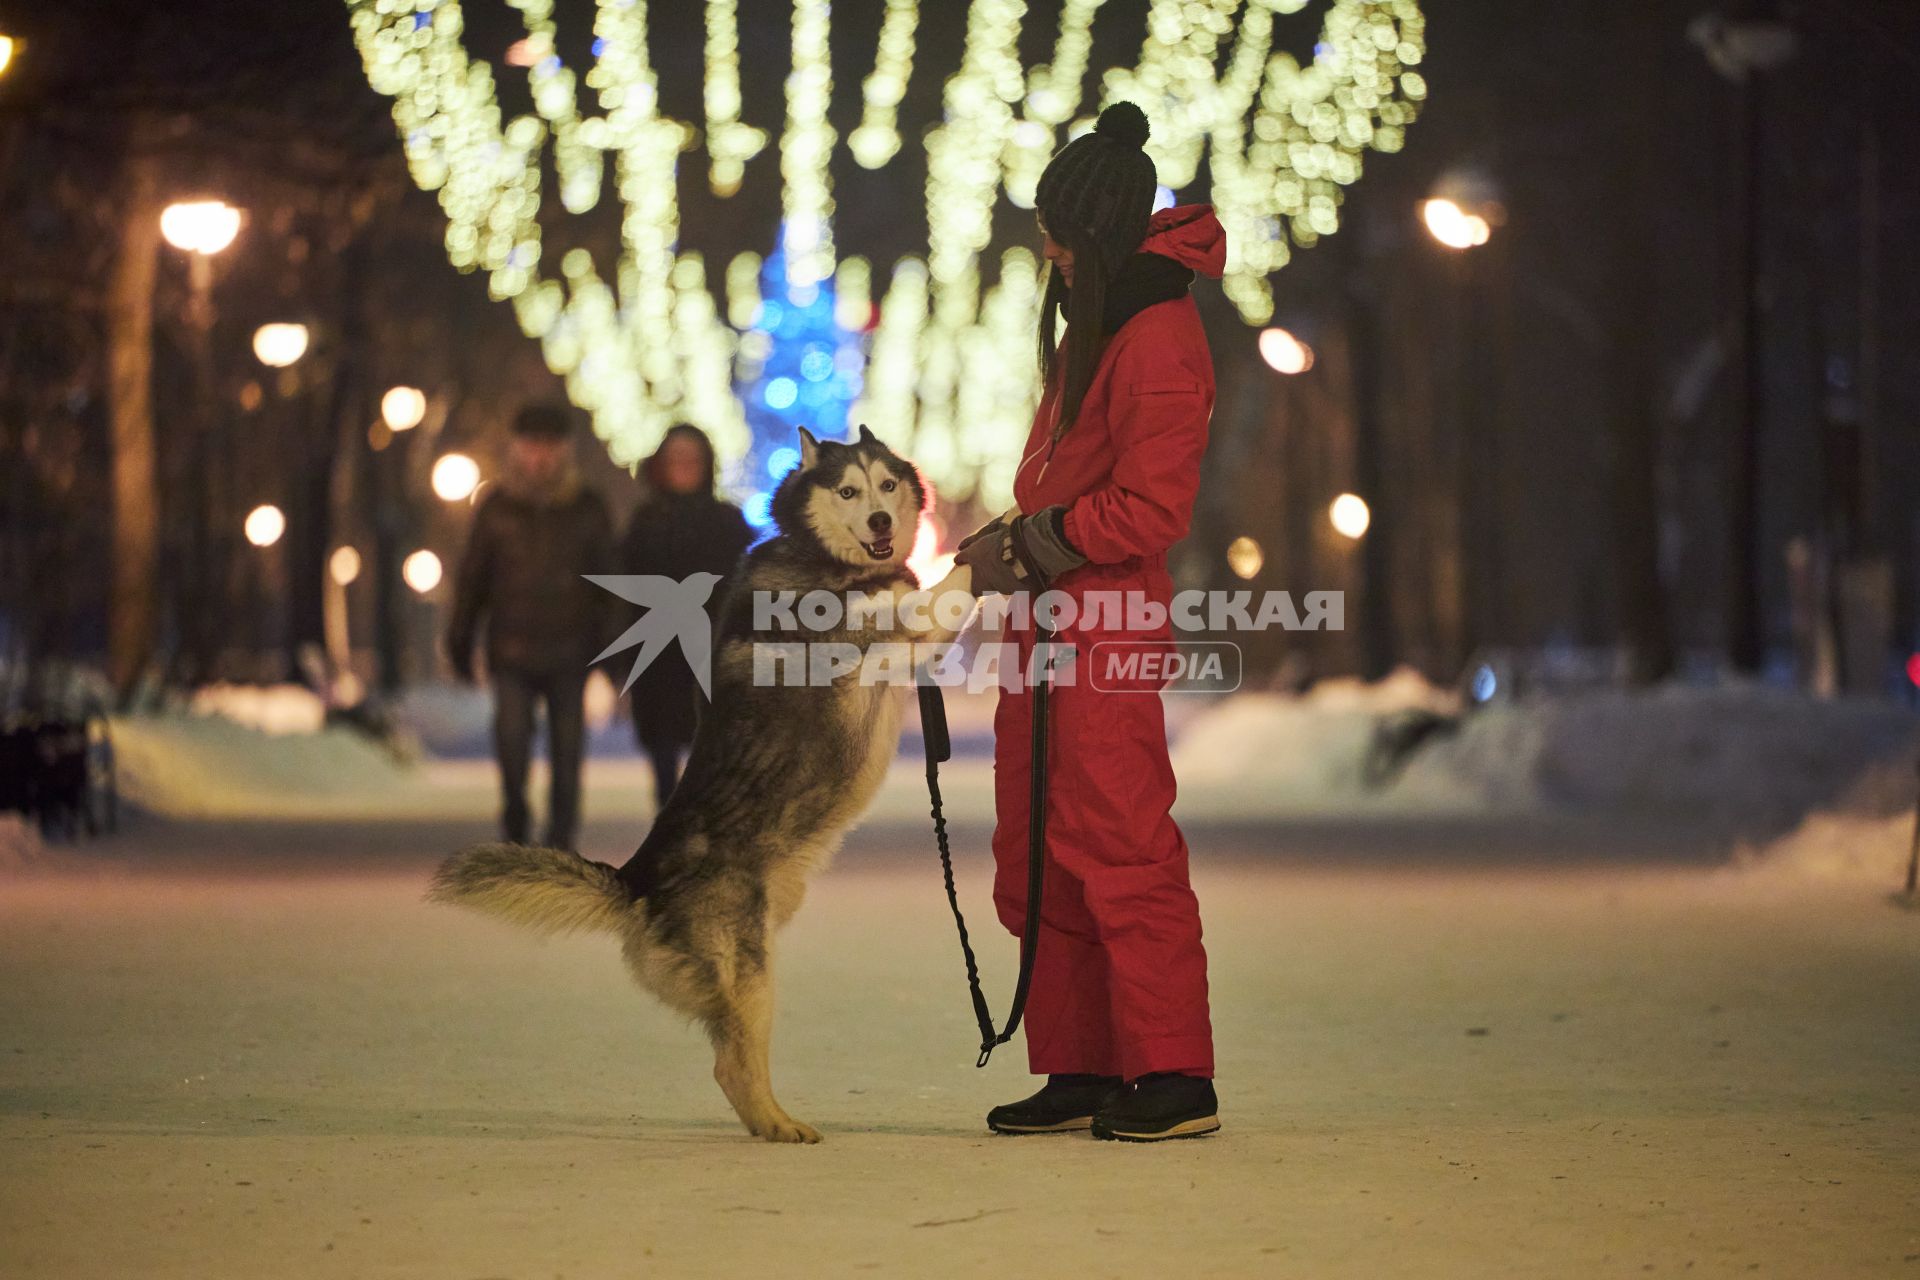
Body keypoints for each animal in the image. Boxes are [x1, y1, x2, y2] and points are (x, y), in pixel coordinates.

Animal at [435, 426, 975, 1143]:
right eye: (847, 491)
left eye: (886, 484)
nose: (883, 521)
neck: (822, 558)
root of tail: (635, 882)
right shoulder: (902, 625)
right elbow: (952, 583)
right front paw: (1010, 532)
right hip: (752, 973)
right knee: (733, 1066)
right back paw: (781, 1126)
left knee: (728, 1062)